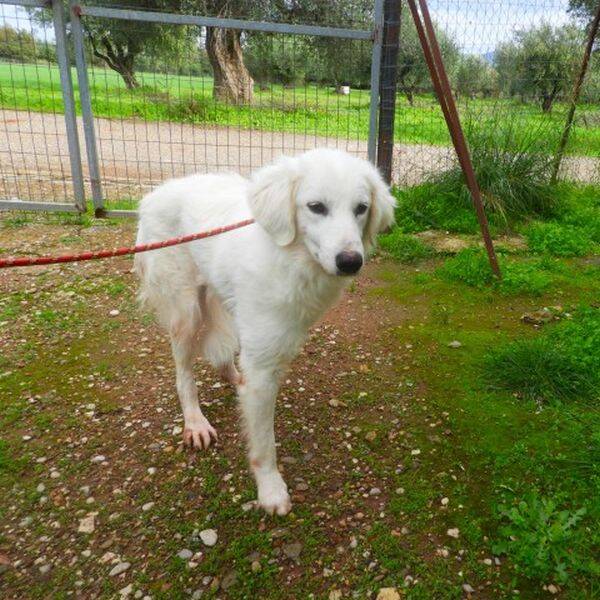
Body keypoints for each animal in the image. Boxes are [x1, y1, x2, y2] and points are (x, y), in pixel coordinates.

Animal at [135, 148, 395, 515]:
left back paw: (232, 378)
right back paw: (195, 422)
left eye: (361, 208)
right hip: (186, 311)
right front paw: (271, 490)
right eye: (316, 207)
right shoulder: (261, 367)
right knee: (183, 373)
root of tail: (154, 195)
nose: (350, 262)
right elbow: (263, 443)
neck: (290, 259)